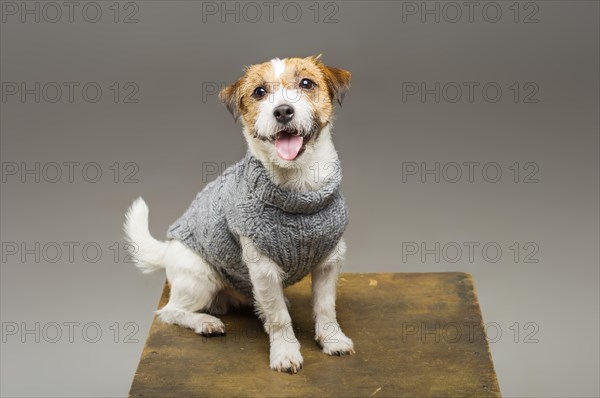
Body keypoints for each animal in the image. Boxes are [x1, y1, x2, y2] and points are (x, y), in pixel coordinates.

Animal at [125, 55, 354, 374]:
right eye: (259, 92)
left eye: (307, 83)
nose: (283, 110)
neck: (298, 188)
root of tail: (167, 250)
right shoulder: (263, 267)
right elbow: (278, 317)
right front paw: (285, 352)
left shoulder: (329, 261)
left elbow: (325, 307)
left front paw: (332, 339)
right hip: (199, 278)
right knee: (170, 311)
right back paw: (204, 321)